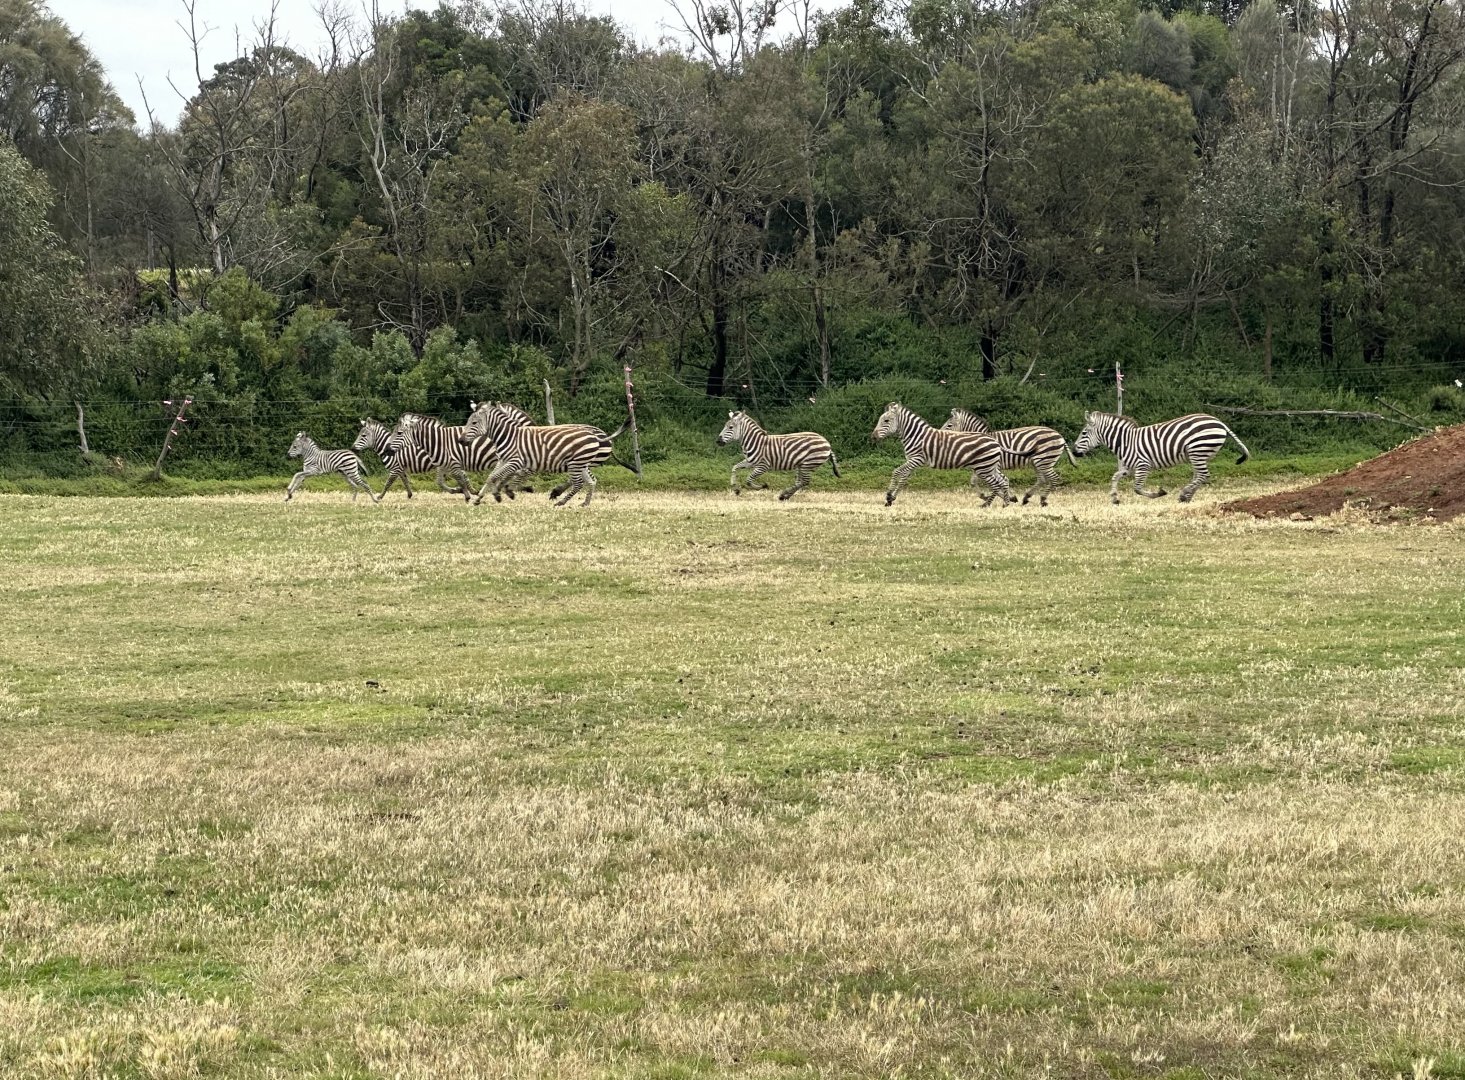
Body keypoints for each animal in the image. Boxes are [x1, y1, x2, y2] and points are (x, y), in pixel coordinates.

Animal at [459, 402, 629, 507]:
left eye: (474, 423)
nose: (460, 440)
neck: (509, 436)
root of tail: (598, 436)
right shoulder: (503, 460)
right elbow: (491, 477)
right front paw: (479, 498)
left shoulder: (517, 462)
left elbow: (499, 477)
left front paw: (500, 493)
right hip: (581, 464)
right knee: (591, 481)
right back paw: (585, 503)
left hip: (576, 464)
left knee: (578, 483)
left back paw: (560, 502)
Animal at [872, 402, 1014, 508]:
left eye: (886, 420)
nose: (873, 437)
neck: (916, 436)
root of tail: (995, 441)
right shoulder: (912, 461)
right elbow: (903, 479)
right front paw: (892, 498)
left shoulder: (917, 459)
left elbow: (896, 472)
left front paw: (888, 496)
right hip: (989, 467)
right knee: (1003, 481)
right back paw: (1006, 503)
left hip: (983, 468)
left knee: (996, 484)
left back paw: (988, 505)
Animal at [940, 408, 1077, 507]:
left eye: (949, 426)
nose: (941, 435)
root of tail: (1059, 435)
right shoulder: (982, 467)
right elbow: (974, 482)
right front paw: (1003, 497)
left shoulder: (991, 466)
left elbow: (998, 482)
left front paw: (1000, 498)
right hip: (1038, 462)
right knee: (1042, 479)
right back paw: (1026, 498)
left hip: (1044, 460)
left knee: (1054, 478)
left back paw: (1043, 500)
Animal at [1073, 411, 1251, 504]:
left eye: (1084, 433)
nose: (1074, 452)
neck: (1126, 442)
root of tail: (1219, 422)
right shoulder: (1130, 467)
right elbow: (1115, 477)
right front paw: (1115, 498)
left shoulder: (1142, 465)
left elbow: (1137, 488)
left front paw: (1158, 493)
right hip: (1200, 454)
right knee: (1200, 476)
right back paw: (1187, 497)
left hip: (1198, 450)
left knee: (1203, 475)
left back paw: (1184, 493)